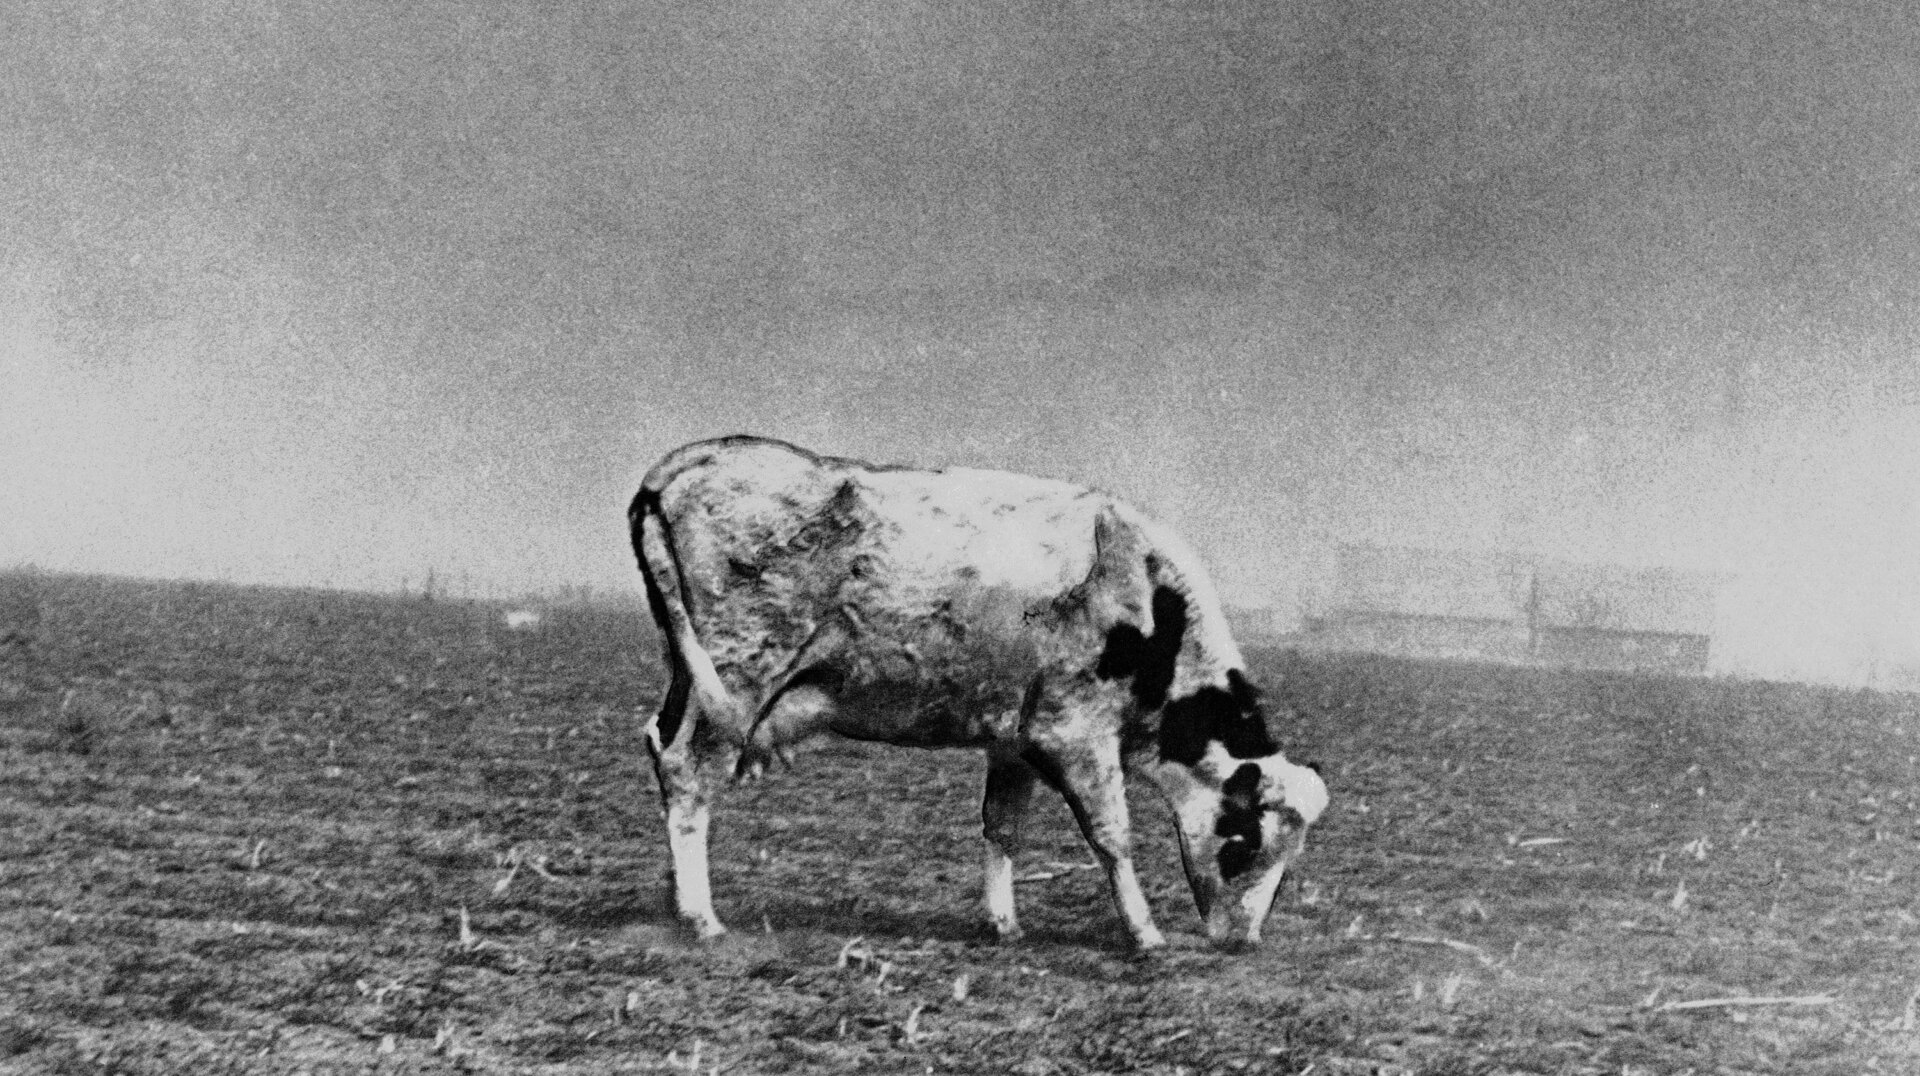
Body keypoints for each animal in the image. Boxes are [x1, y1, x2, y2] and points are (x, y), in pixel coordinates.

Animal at [629, 435, 1327, 950]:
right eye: (1251, 841)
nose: (1245, 940)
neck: (1144, 597)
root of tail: (698, 458)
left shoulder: (1014, 742)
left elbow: (1002, 827)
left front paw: (1004, 923)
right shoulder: (1074, 732)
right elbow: (1113, 834)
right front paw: (1146, 933)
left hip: (690, 678)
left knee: (663, 752)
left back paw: (673, 900)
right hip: (737, 674)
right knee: (690, 773)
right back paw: (701, 918)